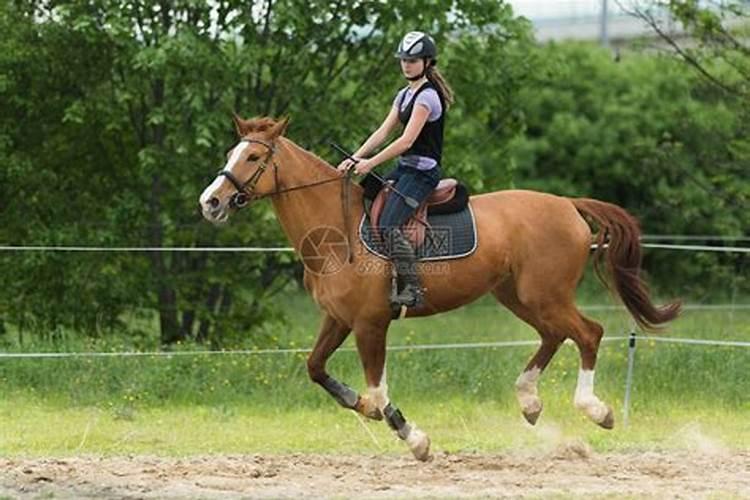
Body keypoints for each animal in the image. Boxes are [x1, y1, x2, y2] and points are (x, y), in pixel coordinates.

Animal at [198, 116, 680, 460]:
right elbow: (317, 368)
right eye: (232, 152)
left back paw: (595, 410)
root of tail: (568, 205)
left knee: (588, 333)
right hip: (520, 296)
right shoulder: (338, 318)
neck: (335, 229)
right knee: (555, 335)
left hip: (546, 295)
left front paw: (412, 438)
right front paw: (371, 410)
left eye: (252, 158)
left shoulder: (370, 324)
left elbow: (378, 389)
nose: (211, 202)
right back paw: (529, 402)